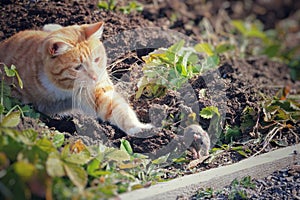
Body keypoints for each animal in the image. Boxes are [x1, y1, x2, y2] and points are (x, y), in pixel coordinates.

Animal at [0, 21, 152, 134]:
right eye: (78, 67)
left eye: (96, 59)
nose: (95, 77)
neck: (60, 89)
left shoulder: (96, 91)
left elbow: (118, 109)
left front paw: (138, 128)